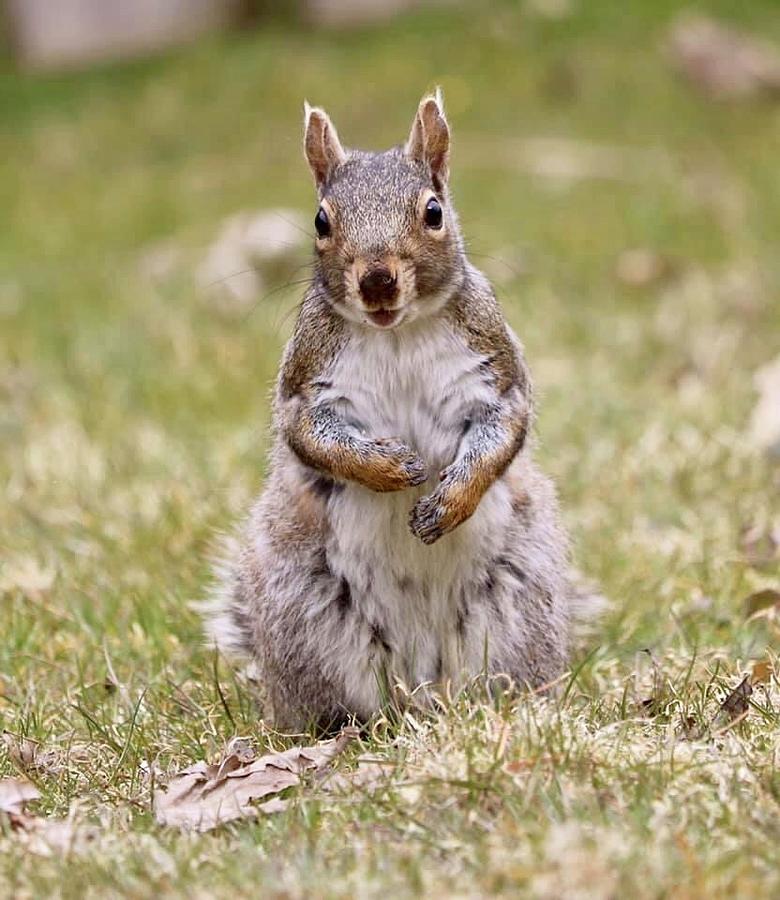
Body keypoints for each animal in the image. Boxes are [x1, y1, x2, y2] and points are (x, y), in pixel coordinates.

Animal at [204, 91, 580, 736]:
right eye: (320, 221)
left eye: (433, 211)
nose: (377, 280)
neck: (397, 333)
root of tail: (422, 687)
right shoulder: (307, 387)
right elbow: (313, 438)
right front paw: (391, 469)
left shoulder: (496, 375)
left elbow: (502, 433)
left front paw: (447, 502)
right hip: (306, 619)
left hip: (517, 611)